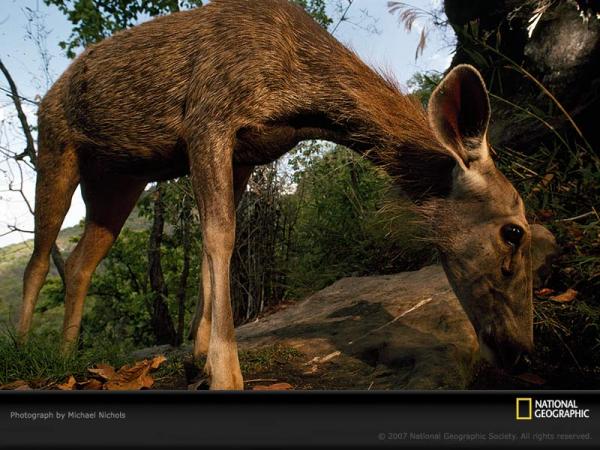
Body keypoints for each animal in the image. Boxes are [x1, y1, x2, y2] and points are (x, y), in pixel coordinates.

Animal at [19, 0, 540, 388]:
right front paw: (226, 374)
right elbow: (221, 237)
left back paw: (66, 355)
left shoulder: (246, 154)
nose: (522, 352)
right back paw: (22, 351)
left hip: (119, 177)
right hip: (56, 143)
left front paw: (198, 358)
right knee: (39, 258)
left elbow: (216, 244)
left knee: (81, 261)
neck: (300, 99)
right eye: (513, 232)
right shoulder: (207, 119)